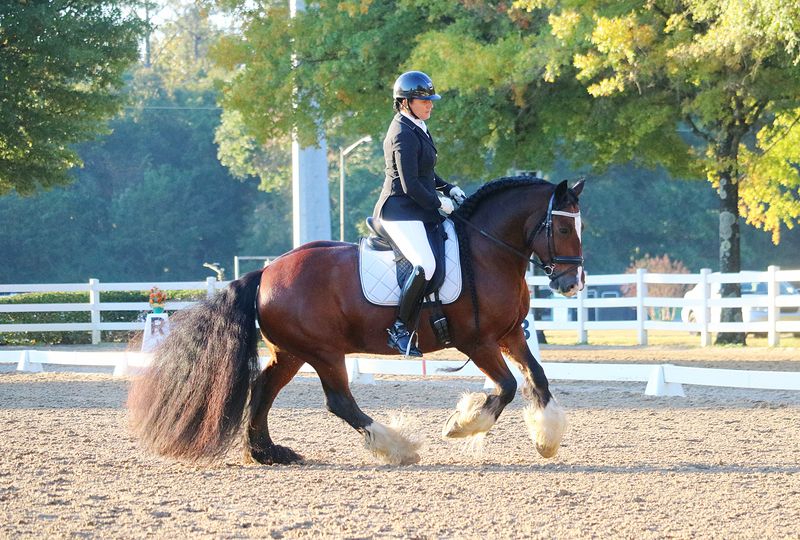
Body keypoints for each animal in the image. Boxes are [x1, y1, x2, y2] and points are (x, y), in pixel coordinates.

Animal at [128, 177, 584, 464]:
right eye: (562, 228)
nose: (572, 283)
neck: (486, 252)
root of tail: (267, 272)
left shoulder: (509, 335)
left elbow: (538, 378)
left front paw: (546, 438)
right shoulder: (478, 342)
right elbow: (506, 387)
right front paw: (461, 425)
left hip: (290, 352)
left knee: (263, 389)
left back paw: (269, 454)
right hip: (323, 352)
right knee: (339, 401)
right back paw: (397, 447)